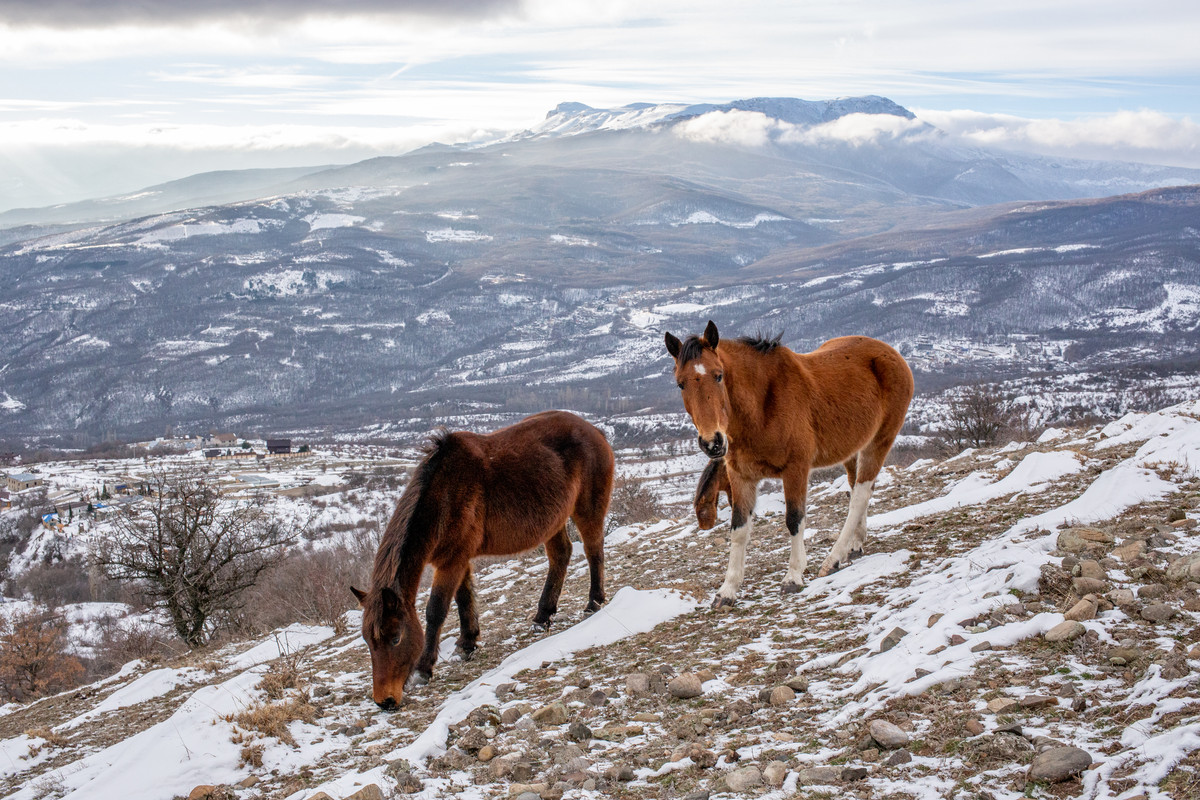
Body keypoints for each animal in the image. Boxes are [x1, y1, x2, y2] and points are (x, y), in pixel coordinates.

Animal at [348, 410, 609, 710]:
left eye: (395, 638)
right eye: (369, 641)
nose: (385, 701)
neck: (443, 496)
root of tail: (594, 430)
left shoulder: (451, 562)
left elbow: (436, 610)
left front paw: (424, 669)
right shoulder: (456, 558)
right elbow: (464, 599)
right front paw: (467, 643)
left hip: (587, 510)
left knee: (593, 550)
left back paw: (594, 602)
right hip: (553, 521)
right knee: (561, 556)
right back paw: (542, 617)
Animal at [667, 319, 907, 606]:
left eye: (718, 375)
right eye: (680, 384)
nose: (712, 442)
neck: (761, 407)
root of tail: (890, 353)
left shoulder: (795, 470)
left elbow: (794, 519)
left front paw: (793, 577)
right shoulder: (741, 477)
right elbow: (738, 529)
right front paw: (728, 590)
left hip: (880, 441)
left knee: (860, 494)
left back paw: (833, 559)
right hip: (853, 449)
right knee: (857, 489)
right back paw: (854, 545)